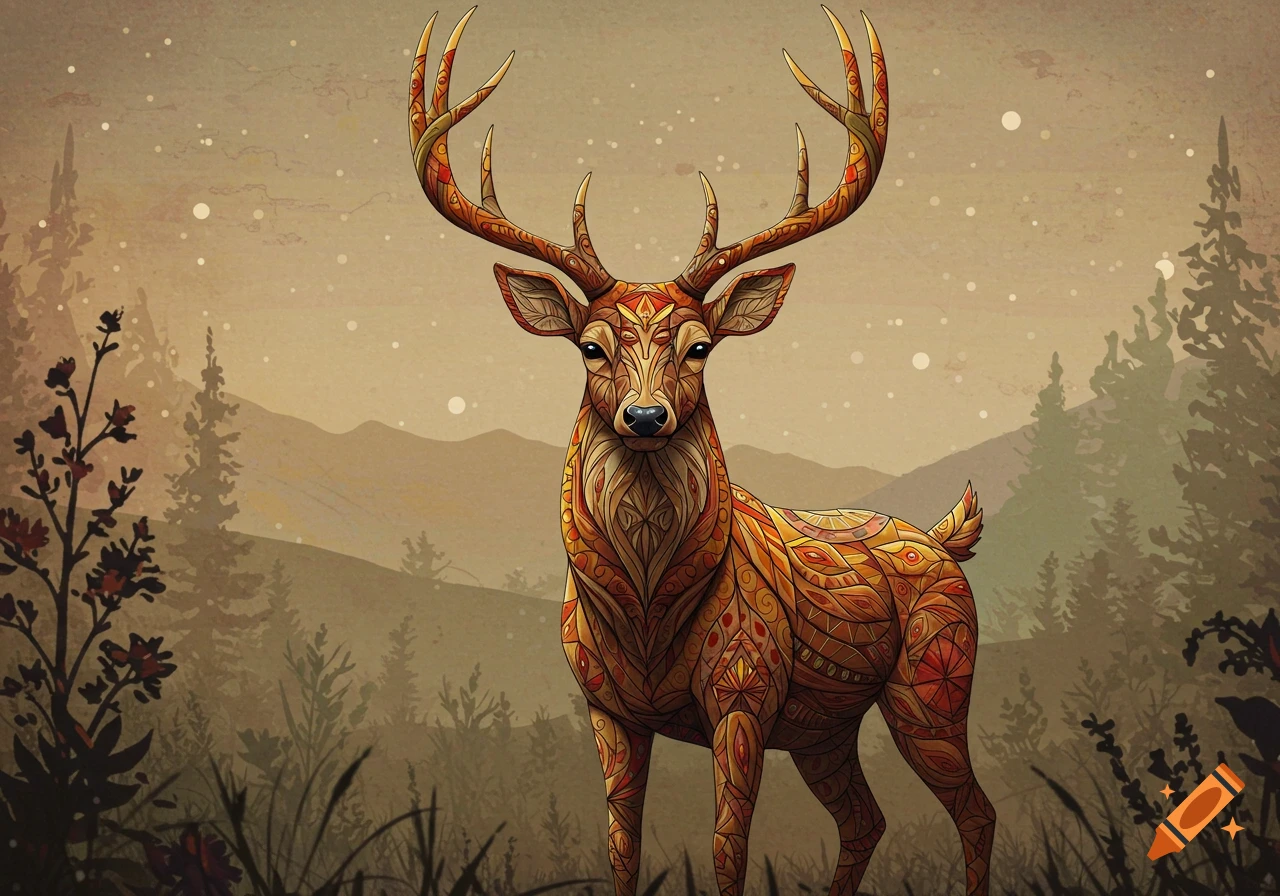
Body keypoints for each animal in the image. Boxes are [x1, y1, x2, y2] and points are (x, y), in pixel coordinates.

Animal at [408, 6, 996, 895]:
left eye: (700, 347)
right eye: (590, 346)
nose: (647, 416)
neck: (650, 614)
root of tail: (943, 539)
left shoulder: (743, 688)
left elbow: (727, 849)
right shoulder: (606, 703)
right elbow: (621, 846)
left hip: (934, 676)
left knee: (975, 810)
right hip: (824, 725)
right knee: (866, 817)